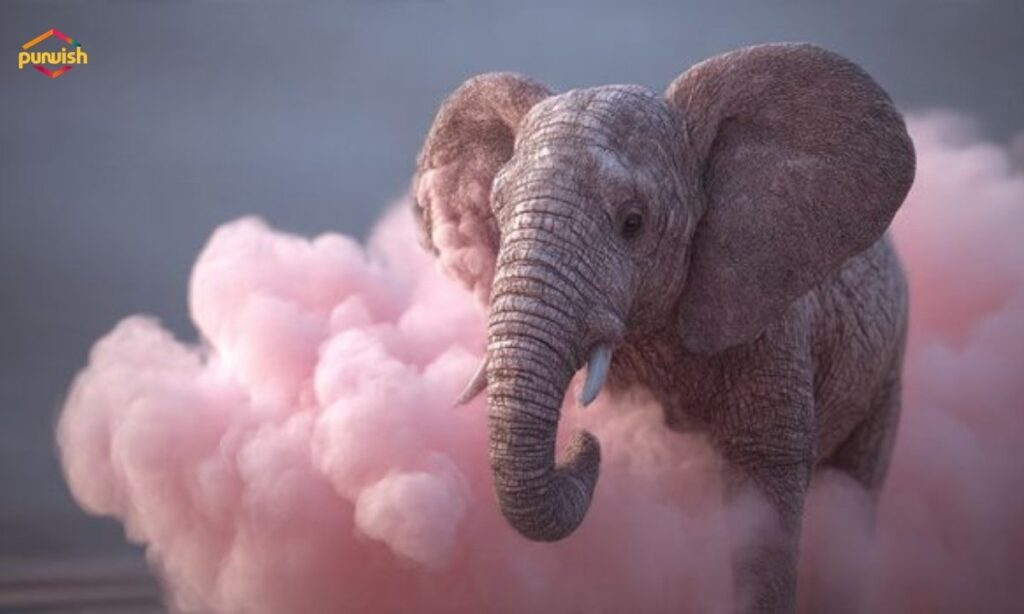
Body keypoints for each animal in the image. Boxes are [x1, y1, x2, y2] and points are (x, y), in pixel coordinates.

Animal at [412, 43, 914, 613]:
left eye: (633, 223)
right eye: (496, 217)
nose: (582, 442)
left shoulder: (772, 327)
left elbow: (763, 484)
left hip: (886, 371)